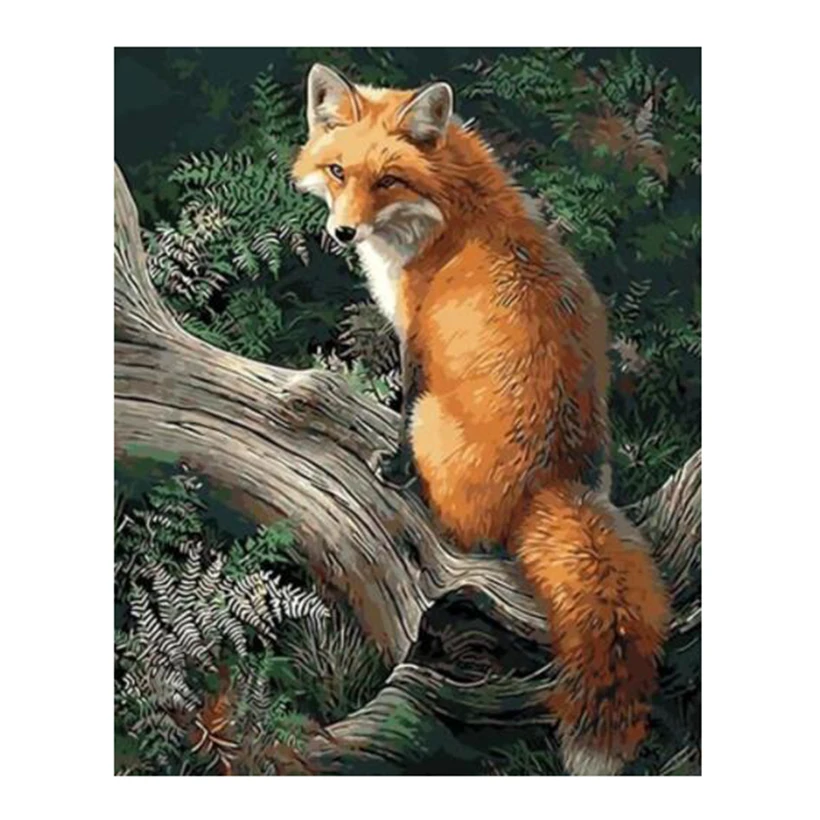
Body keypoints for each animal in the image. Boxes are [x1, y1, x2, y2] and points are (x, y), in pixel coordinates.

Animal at [292, 63, 670, 776]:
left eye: (387, 180)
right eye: (337, 171)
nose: (343, 234)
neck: (453, 211)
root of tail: (553, 484)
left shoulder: (415, 338)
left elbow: (401, 406)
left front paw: (393, 469)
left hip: (436, 423)